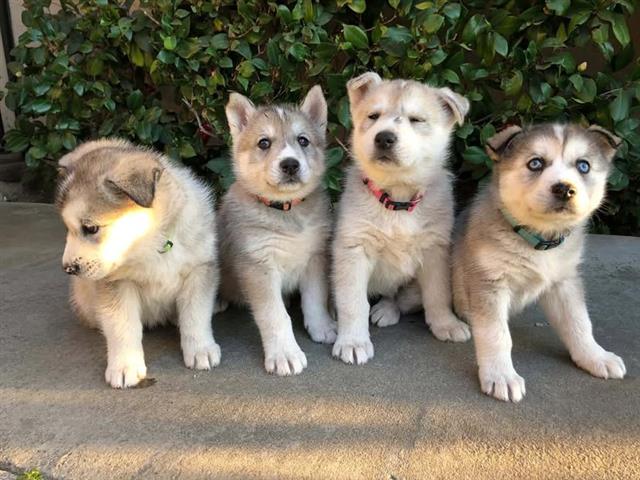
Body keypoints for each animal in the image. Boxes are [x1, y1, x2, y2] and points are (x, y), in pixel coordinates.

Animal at [58, 140, 222, 390]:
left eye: (90, 228)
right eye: (67, 228)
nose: (68, 268)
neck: (152, 246)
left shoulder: (199, 270)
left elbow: (196, 315)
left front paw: (200, 349)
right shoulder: (116, 284)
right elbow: (122, 326)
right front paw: (124, 366)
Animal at [219, 86, 338, 376]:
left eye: (303, 140)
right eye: (264, 143)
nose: (290, 164)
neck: (285, 210)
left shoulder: (315, 257)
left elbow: (315, 298)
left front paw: (322, 326)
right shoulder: (258, 266)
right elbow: (275, 315)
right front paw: (285, 353)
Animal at [332, 72, 472, 364]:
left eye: (417, 120)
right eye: (373, 116)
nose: (384, 138)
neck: (396, 200)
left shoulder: (435, 250)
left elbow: (438, 293)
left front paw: (446, 324)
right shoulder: (353, 250)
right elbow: (353, 302)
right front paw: (353, 341)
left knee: (401, 299)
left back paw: (386, 309)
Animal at [452, 123, 628, 402]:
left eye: (583, 166)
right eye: (535, 163)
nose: (564, 189)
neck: (539, 241)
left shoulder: (564, 282)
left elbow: (579, 322)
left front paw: (595, 356)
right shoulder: (488, 282)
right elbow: (496, 334)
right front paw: (501, 375)